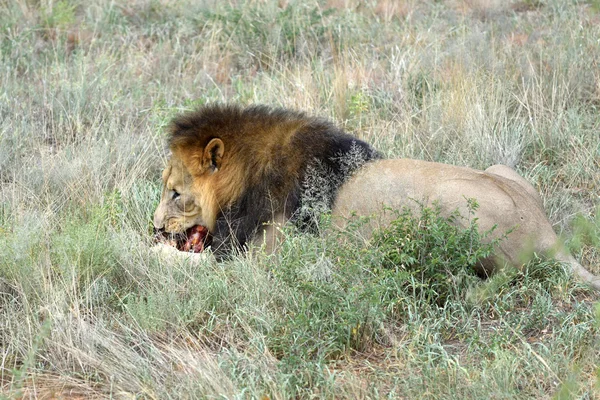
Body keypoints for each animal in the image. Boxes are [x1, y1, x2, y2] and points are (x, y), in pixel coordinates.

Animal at [155, 103, 600, 290]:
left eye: (176, 193)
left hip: (447, 201)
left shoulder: (263, 259)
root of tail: (547, 234)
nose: (155, 226)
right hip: (501, 169)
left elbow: (180, 262)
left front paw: (151, 250)